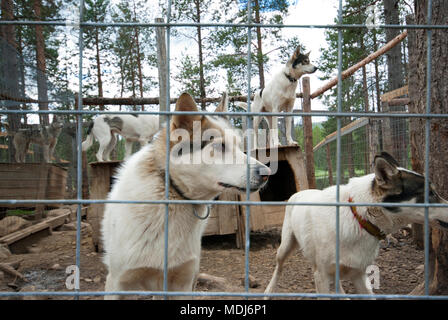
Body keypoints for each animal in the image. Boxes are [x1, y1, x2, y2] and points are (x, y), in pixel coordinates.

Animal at [101, 92, 270, 300]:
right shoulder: (117, 281)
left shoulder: (183, 282)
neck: (172, 194)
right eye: (220, 146)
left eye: (239, 146)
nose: (267, 173)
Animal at [264, 151, 448, 296]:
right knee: (278, 268)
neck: (359, 218)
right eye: (430, 193)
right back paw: (269, 291)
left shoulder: (359, 275)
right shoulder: (321, 275)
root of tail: (300, 192)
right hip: (285, 247)